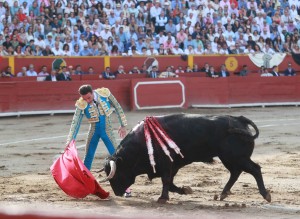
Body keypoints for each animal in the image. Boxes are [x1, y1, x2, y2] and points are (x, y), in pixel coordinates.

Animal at [102, 114, 270, 203]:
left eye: (116, 174)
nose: (117, 193)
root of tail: (239, 119)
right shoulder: (173, 165)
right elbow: (170, 183)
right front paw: (185, 190)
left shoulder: (166, 164)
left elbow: (166, 181)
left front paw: (162, 198)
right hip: (229, 158)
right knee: (236, 172)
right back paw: (223, 194)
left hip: (235, 157)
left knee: (254, 169)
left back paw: (265, 195)